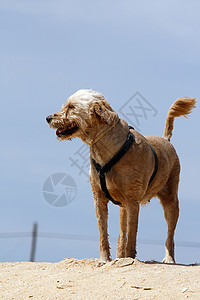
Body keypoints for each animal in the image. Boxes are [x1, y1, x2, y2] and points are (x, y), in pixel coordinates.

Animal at [46, 90, 196, 264]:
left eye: (71, 107)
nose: (48, 118)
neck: (106, 149)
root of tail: (166, 140)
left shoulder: (133, 202)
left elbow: (132, 235)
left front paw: (130, 258)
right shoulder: (99, 200)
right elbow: (104, 233)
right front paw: (105, 259)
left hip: (170, 200)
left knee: (169, 234)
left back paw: (169, 258)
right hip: (123, 208)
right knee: (122, 235)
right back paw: (120, 257)